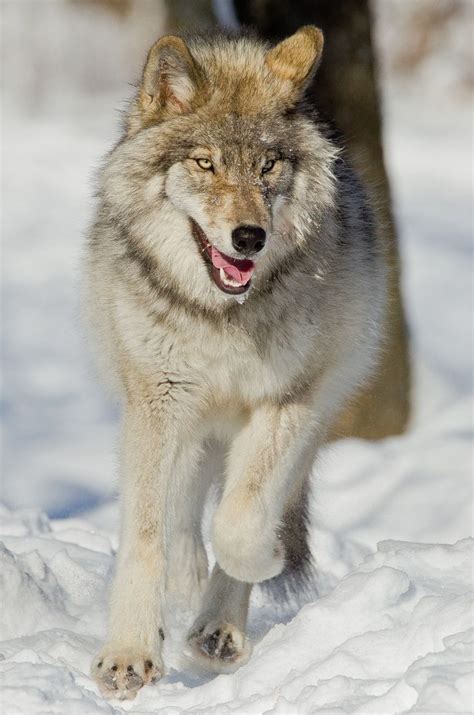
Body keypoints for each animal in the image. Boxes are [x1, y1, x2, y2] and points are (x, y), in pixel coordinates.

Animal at [85, 26, 386, 700]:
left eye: (268, 165)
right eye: (205, 164)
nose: (250, 237)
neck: (224, 317)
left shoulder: (286, 402)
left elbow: (242, 519)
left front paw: (258, 566)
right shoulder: (158, 400)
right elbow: (146, 534)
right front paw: (129, 654)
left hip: (312, 412)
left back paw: (216, 625)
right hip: (181, 424)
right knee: (179, 514)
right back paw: (185, 587)